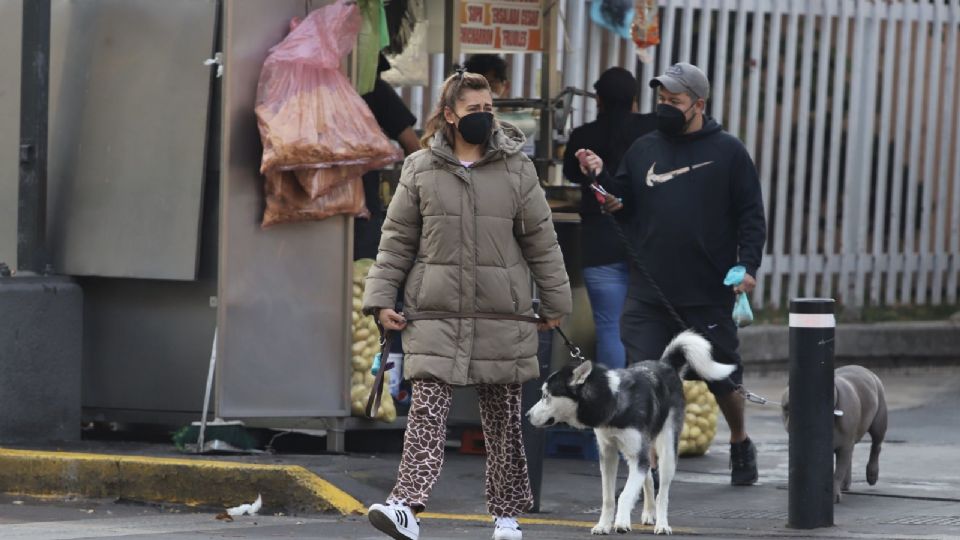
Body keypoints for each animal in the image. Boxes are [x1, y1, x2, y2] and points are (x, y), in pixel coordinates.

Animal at [524, 332, 736, 532]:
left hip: (666, 451)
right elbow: (608, 497)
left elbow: (625, 495)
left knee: (662, 493)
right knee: (649, 477)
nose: (526, 415)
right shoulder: (608, 454)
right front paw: (603, 525)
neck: (612, 399)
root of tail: (665, 364)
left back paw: (662, 524)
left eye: (546, 396)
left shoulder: (637, 456)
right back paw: (649, 513)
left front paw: (622, 523)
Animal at [780, 364, 884, 500]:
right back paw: (845, 484)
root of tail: (866, 370)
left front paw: (833, 494)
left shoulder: (844, 447)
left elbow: (838, 472)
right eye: (786, 408)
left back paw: (872, 474)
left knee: (876, 445)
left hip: (879, 422)